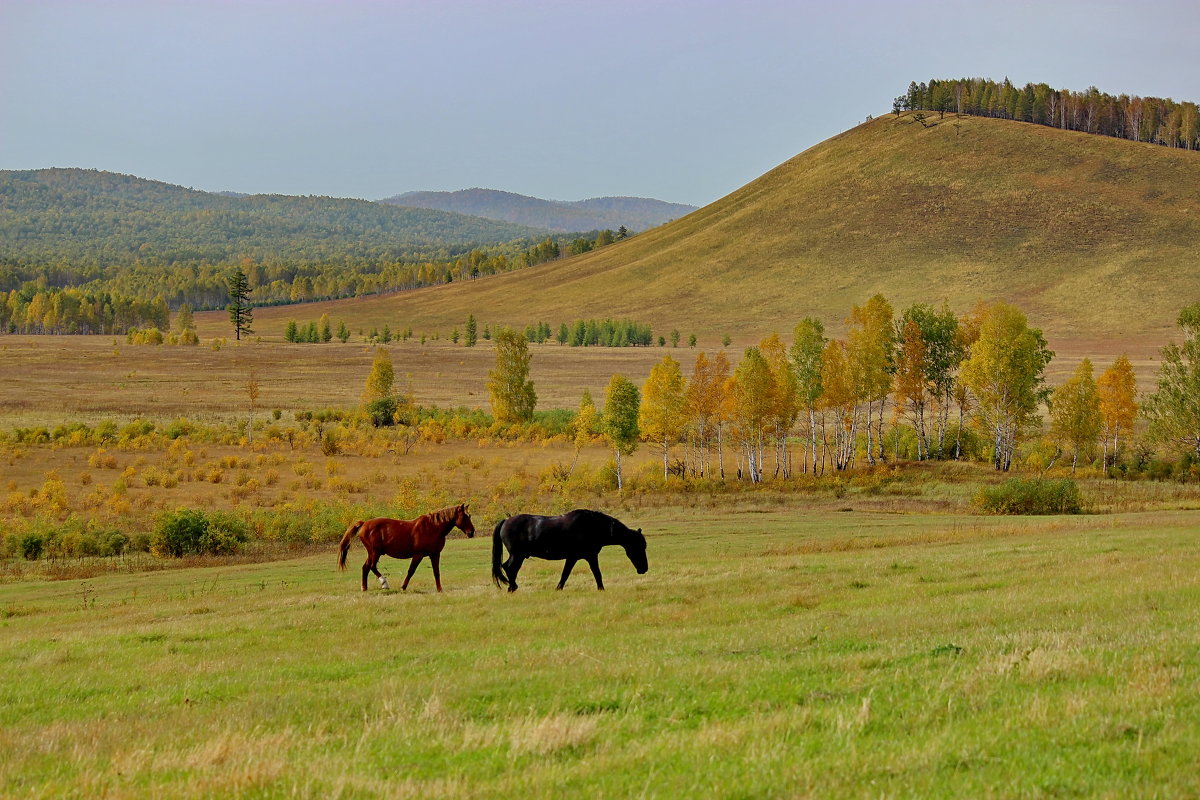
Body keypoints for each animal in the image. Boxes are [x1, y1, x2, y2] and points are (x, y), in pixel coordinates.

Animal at [336, 503, 475, 592]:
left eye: (469, 516)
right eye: (465, 516)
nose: (472, 532)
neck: (432, 527)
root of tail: (364, 523)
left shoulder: (435, 554)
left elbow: (436, 572)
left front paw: (440, 589)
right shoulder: (418, 555)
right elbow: (411, 571)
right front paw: (403, 587)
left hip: (373, 553)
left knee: (366, 567)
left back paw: (365, 588)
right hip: (375, 552)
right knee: (370, 566)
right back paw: (384, 583)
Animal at [492, 510, 648, 592]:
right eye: (638, 547)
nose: (644, 569)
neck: (591, 526)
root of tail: (505, 521)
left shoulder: (582, 557)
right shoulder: (581, 556)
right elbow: (589, 573)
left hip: (519, 555)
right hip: (517, 555)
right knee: (509, 567)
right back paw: (512, 587)